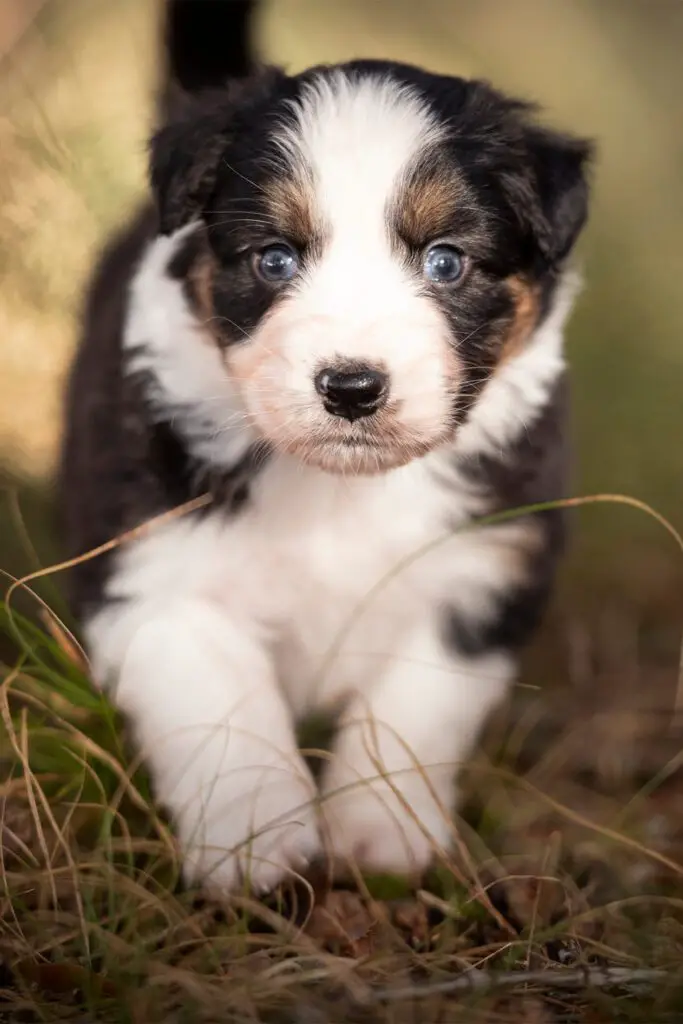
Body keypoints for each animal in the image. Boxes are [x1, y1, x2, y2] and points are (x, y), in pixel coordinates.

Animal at [60, 0, 593, 897]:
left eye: (445, 261)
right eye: (275, 257)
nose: (350, 387)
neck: (340, 489)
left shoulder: (481, 566)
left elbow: (412, 707)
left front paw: (379, 837)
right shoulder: (158, 569)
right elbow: (224, 715)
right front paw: (256, 846)